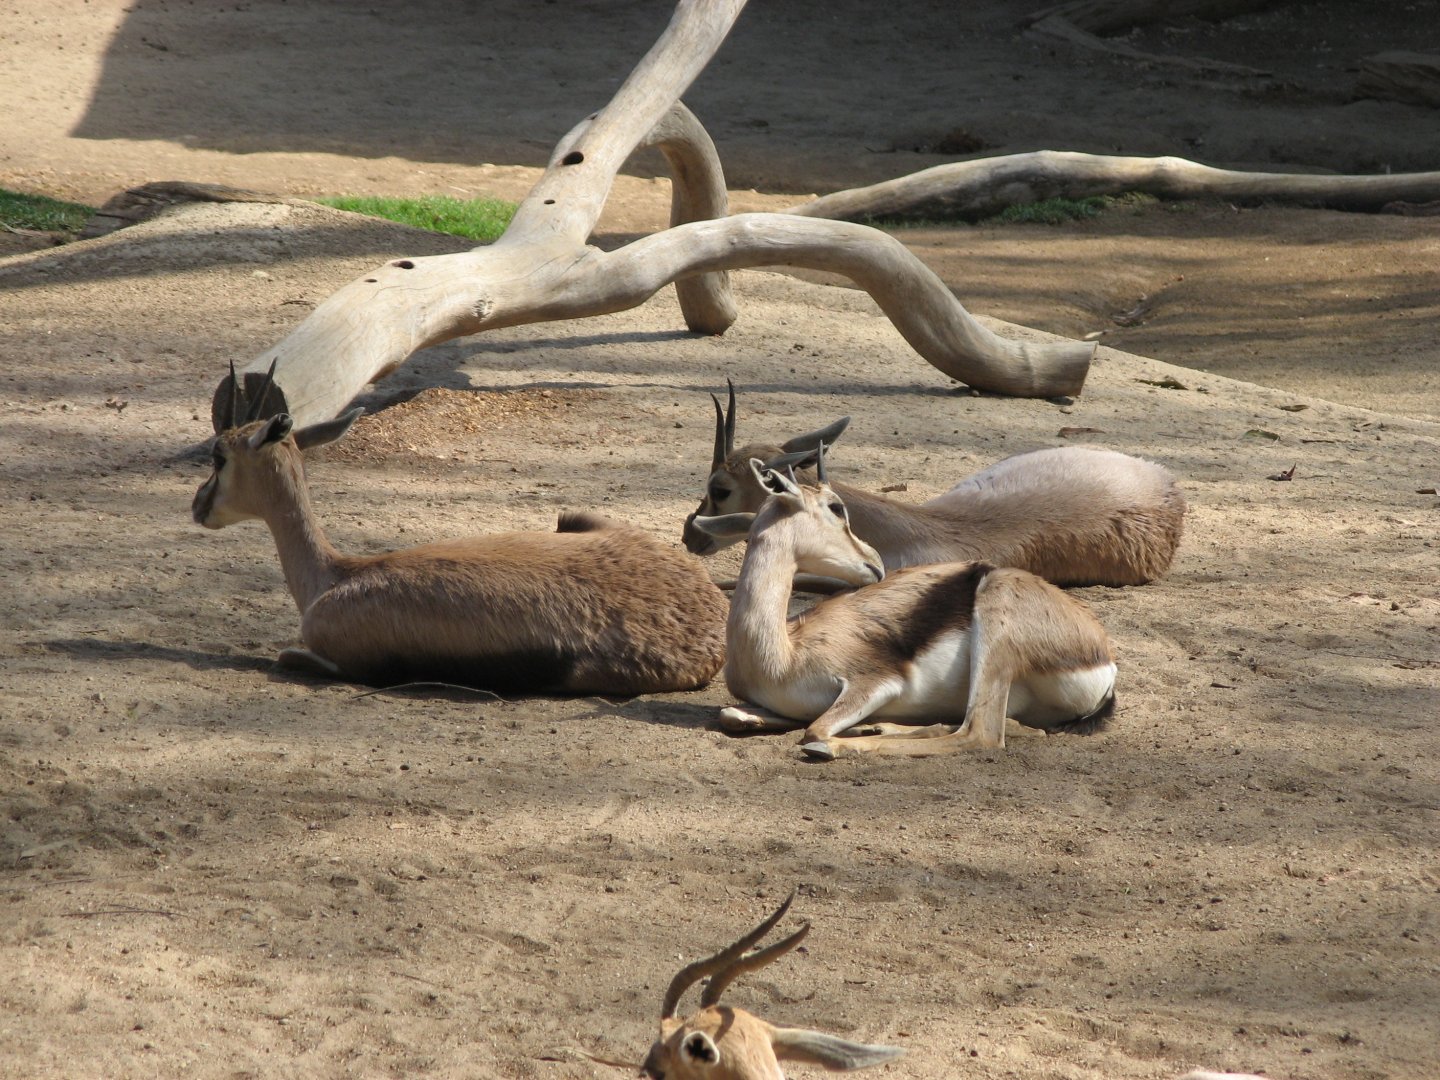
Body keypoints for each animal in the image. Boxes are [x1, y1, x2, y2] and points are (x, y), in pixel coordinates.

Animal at [191, 364, 727, 695]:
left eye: (219, 456)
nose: (197, 506)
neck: (335, 576)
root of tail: (709, 616)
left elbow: (289, 656)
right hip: (576, 521)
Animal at [688, 449, 1116, 759]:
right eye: (836, 508)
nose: (875, 562)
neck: (782, 652)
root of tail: (1102, 656)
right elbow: (732, 715)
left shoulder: (876, 682)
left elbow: (814, 728)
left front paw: (833, 740)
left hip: (995, 625)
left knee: (979, 734)